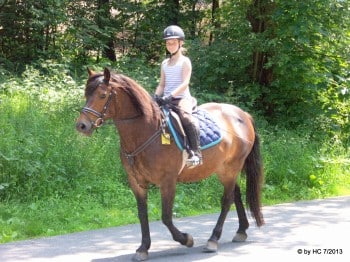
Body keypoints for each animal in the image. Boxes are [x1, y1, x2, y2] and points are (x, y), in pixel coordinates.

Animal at [76, 67, 262, 260]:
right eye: (86, 94)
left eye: (103, 95)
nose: (82, 125)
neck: (147, 130)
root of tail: (242, 115)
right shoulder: (136, 182)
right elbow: (142, 214)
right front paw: (143, 248)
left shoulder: (168, 181)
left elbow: (166, 217)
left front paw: (186, 239)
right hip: (224, 169)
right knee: (236, 194)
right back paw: (241, 230)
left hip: (231, 168)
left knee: (227, 200)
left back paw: (213, 240)